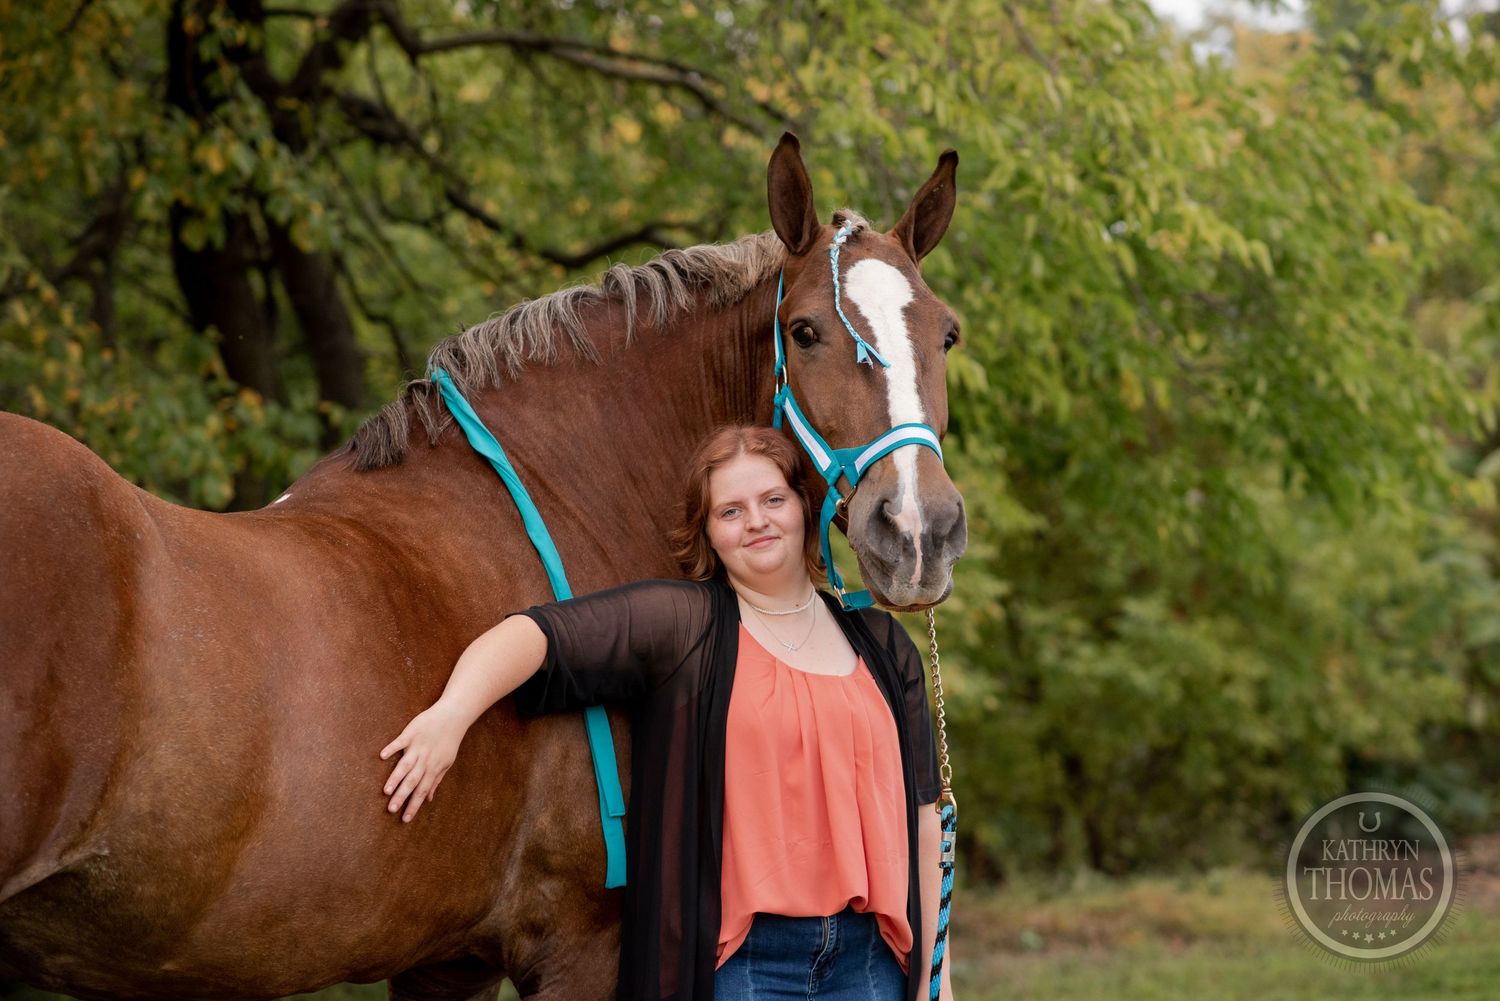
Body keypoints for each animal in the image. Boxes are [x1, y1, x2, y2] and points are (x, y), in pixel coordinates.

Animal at [0, 132, 966, 1001]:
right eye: (805, 332)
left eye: (946, 334)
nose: (920, 530)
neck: (569, 494)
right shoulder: (580, 947)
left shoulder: (444, 959)